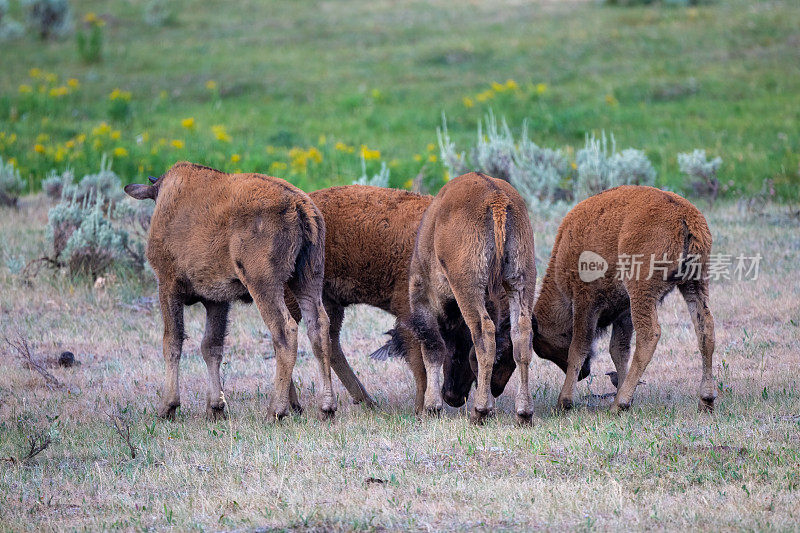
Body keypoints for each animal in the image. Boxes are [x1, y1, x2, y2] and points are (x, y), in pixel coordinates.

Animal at [406, 172, 536, 422]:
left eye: (455, 356)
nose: (453, 397)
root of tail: (496, 196)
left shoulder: (421, 295)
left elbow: (433, 347)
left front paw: (432, 407)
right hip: (520, 279)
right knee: (521, 336)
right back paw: (523, 413)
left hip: (468, 286)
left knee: (484, 336)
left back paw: (480, 411)